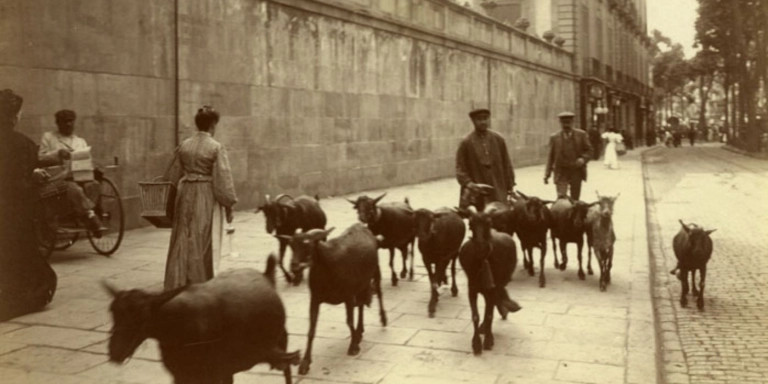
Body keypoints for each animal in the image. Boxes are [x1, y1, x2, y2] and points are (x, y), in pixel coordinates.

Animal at [104, 255, 300, 384]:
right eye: (113, 312)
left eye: (142, 316)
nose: (115, 352)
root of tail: (267, 276)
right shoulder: (181, 375)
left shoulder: (217, 372)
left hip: (279, 343)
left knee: (287, 370)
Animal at [278, 225, 388, 376]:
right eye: (291, 245)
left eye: (308, 244)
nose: (294, 266)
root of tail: (361, 227)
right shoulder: (315, 299)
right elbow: (311, 330)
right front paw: (305, 363)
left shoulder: (348, 295)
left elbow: (349, 321)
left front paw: (353, 347)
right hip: (361, 283)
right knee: (360, 305)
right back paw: (360, 330)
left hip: (375, 271)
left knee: (379, 293)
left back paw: (383, 319)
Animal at [456, 207, 520, 354]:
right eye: (470, 225)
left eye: (489, 223)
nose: (481, 249)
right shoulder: (472, 289)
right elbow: (475, 315)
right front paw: (476, 344)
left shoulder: (492, 288)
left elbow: (489, 314)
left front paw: (488, 341)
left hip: (499, 283)